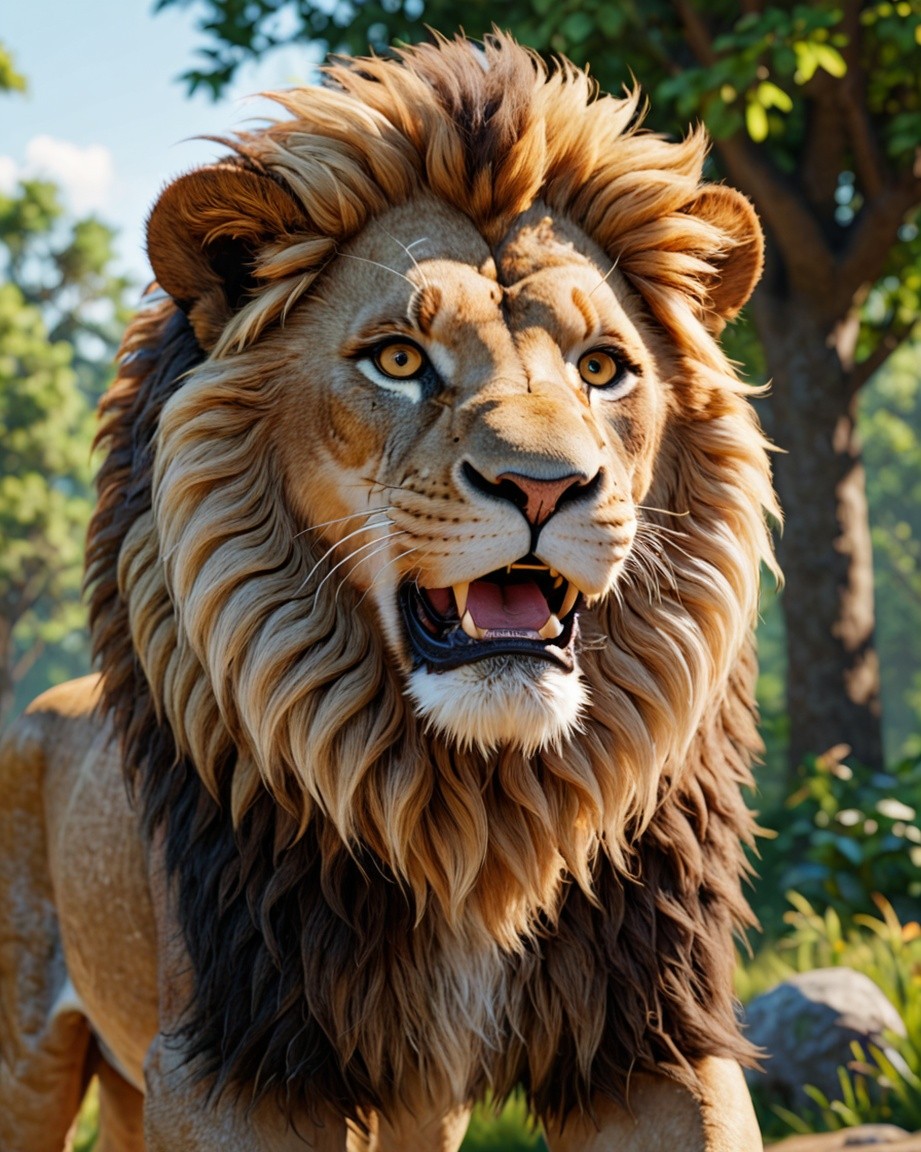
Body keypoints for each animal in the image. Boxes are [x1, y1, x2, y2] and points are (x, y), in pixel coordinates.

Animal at [0, 32, 779, 1152]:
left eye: (602, 369)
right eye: (401, 359)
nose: (544, 484)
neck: (478, 812)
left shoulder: (650, 1033)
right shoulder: (235, 1052)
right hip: (30, 1060)